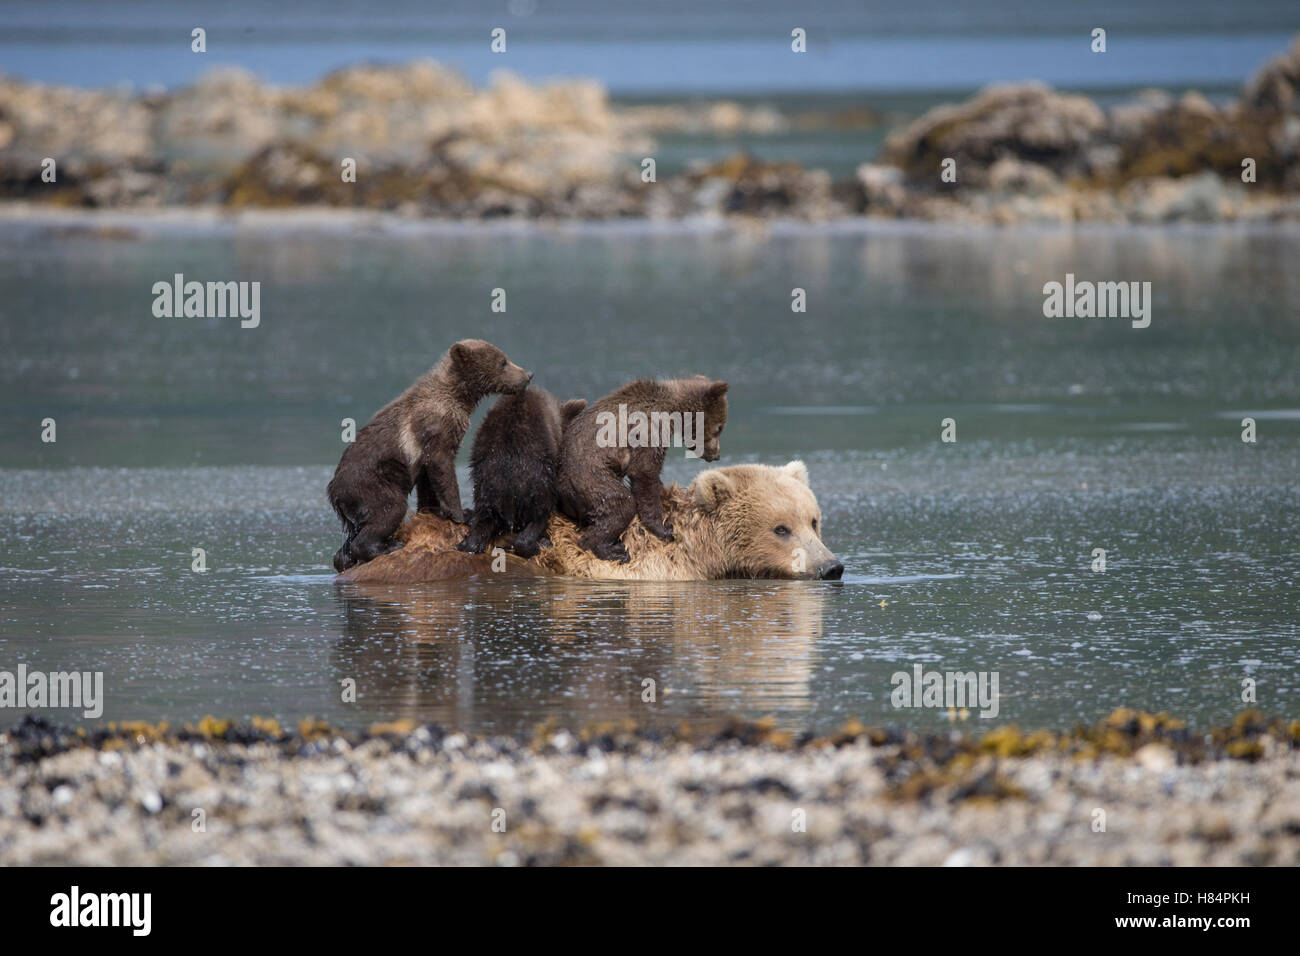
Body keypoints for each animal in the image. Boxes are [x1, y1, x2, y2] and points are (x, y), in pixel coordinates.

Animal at [327, 339, 532, 573]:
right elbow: (442, 469)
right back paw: (384, 546)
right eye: (502, 361)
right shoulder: (435, 429)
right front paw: (462, 514)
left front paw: (434, 510)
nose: (528, 374)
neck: (458, 396)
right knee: (388, 511)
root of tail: (333, 491)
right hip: (370, 484)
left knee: (350, 540)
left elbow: (428, 481)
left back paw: (346, 557)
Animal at [456, 389, 588, 558]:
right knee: (540, 511)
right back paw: (539, 543)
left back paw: (468, 539)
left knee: (484, 517)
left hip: (485, 480)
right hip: (536, 473)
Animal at [555, 376, 729, 563]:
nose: (717, 455)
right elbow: (644, 473)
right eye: (719, 427)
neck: (674, 412)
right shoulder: (648, 430)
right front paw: (664, 529)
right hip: (593, 478)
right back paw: (612, 550)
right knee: (621, 505)